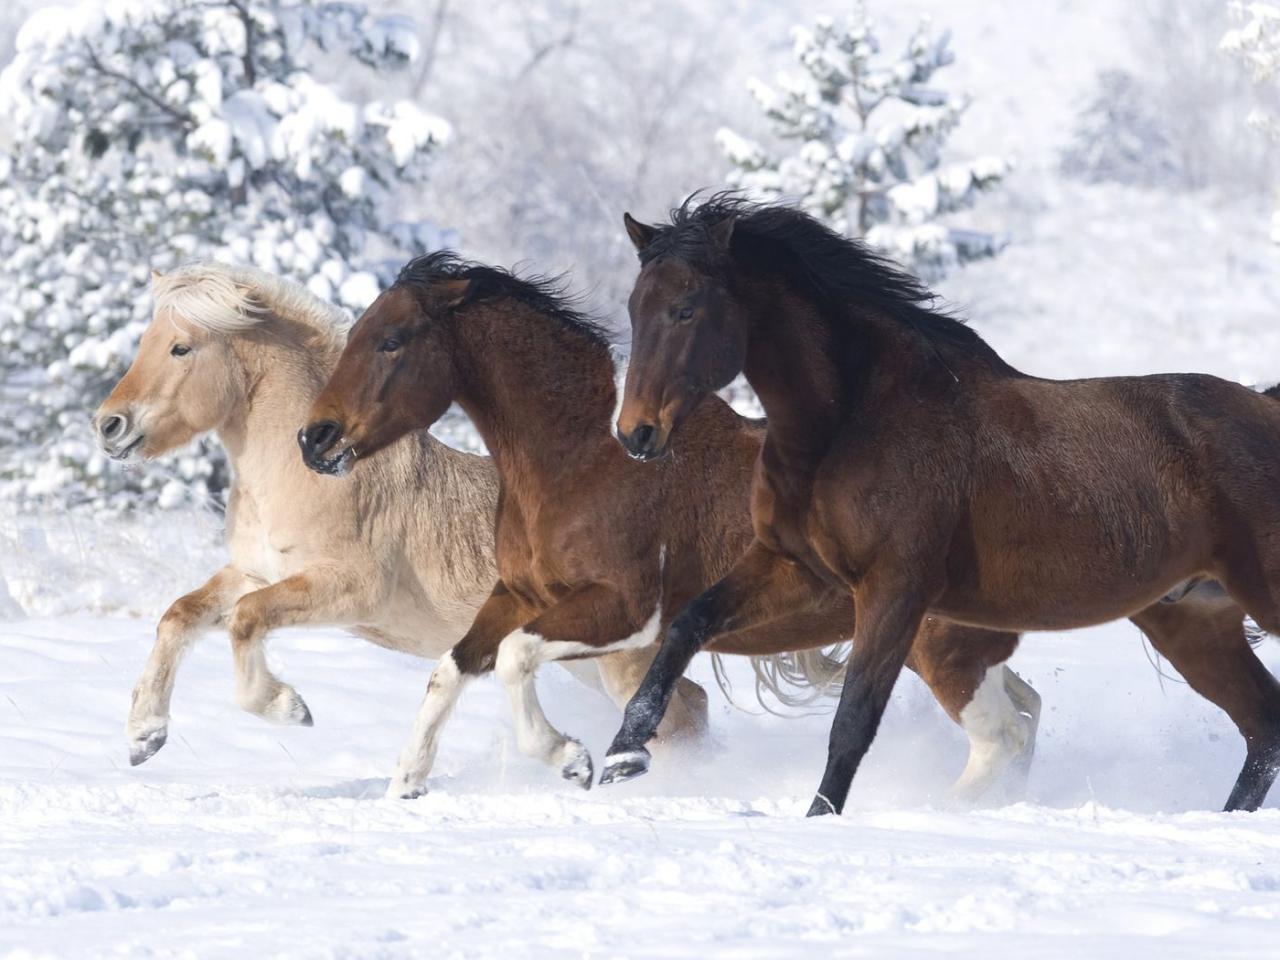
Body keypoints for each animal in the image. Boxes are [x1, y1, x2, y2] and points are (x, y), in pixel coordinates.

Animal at [90, 261, 711, 773]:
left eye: (181, 348)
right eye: (147, 341)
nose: (109, 426)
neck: (307, 475)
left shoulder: (349, 589)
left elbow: (245, 620)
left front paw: (289, 708)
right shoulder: (256, 571)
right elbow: (180, 615)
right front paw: (144, 736)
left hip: (618, 658)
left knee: (680, 716)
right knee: (692, 705)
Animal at [296, 252, 1039, 798]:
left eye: (391, 341)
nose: (314, 438)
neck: (580, 459)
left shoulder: (624, 611)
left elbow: (513, 660)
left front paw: (572, 759)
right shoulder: (518, 596)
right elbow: (450, 670)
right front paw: (406, 782)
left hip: (937, 646)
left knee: (1002, 736)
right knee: (1022, 715)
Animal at [601, 197, 1280, 819]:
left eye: (686, 309)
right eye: (634, 308)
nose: (635, 434)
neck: (853, 419)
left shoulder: (895, 588)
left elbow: (852, 721)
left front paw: (818, 822)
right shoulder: (795, 569)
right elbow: (687, 625)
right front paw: (622, 756)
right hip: (1191, 621)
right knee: (1263, 729)